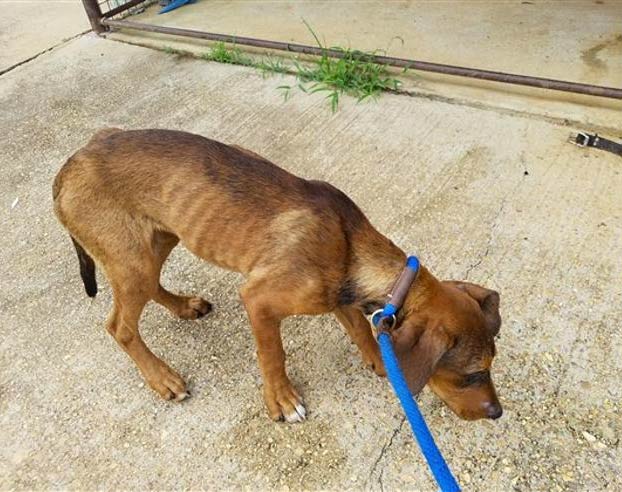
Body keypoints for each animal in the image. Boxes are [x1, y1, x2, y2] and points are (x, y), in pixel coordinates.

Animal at [51, 129, 504, 420]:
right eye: (472, 374)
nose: (498, 413)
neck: (351, 248)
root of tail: (68, 166)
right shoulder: (260, 301)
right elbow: (273, 355)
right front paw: (282, 400)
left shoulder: (337, 297)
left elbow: (360, 328)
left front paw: (381, 361)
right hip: (133, 261)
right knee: (120, 327)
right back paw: (163, 378)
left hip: (158, 240)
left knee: (151, 288)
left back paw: (184, 306)